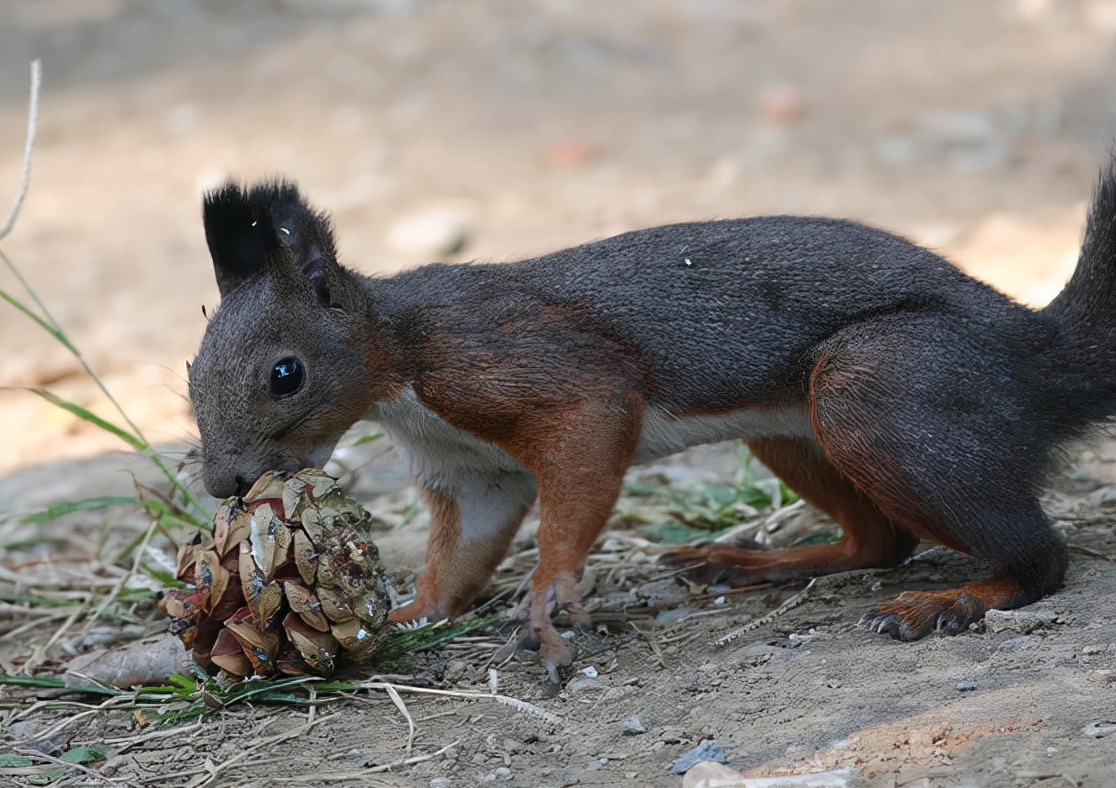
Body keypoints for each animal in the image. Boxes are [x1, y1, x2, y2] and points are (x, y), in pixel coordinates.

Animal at [185, 160, 1116, 669]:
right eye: (189, 369)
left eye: (286, 374)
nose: (227, 483)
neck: (397, 364)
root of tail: (1035, 352)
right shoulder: (469, 473)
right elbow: (462, 557)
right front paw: (409, 614)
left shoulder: (526, 363)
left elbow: (589, 437)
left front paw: (547, 597)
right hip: (792, 430)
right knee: (880, 542)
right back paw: (750, 563)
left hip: (877, 387)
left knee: (1039, 558)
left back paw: (949, 601)